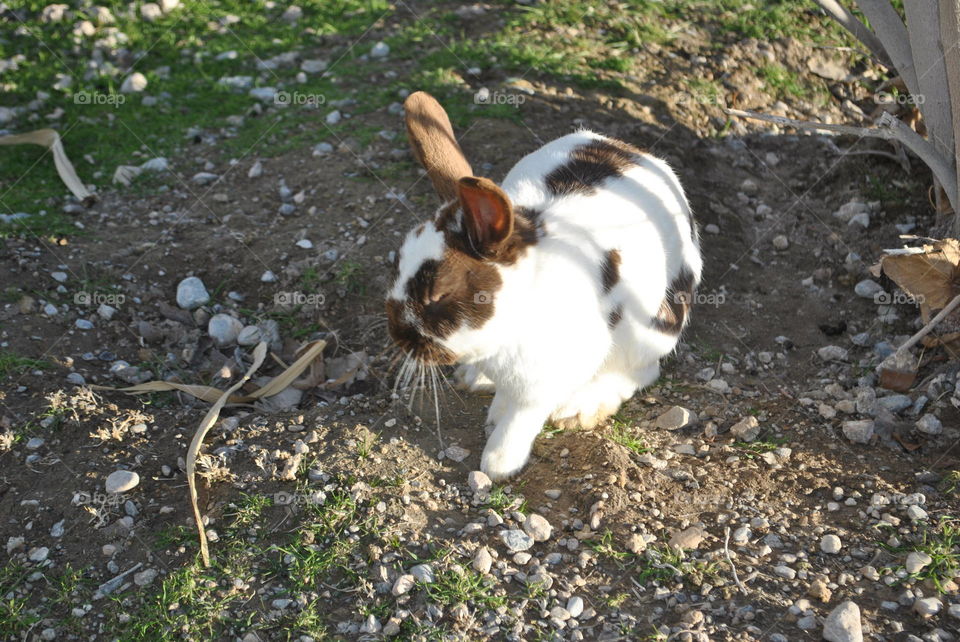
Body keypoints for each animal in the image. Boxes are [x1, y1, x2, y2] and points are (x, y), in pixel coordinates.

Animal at [386, 91, 700, 480]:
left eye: (436, 295)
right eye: (398, 262)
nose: (398, 335)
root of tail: (639, 154)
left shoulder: (546, 381)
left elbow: (521, 418)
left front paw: (498, 463)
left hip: (649, 332)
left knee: (640, 371)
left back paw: (580, 409)